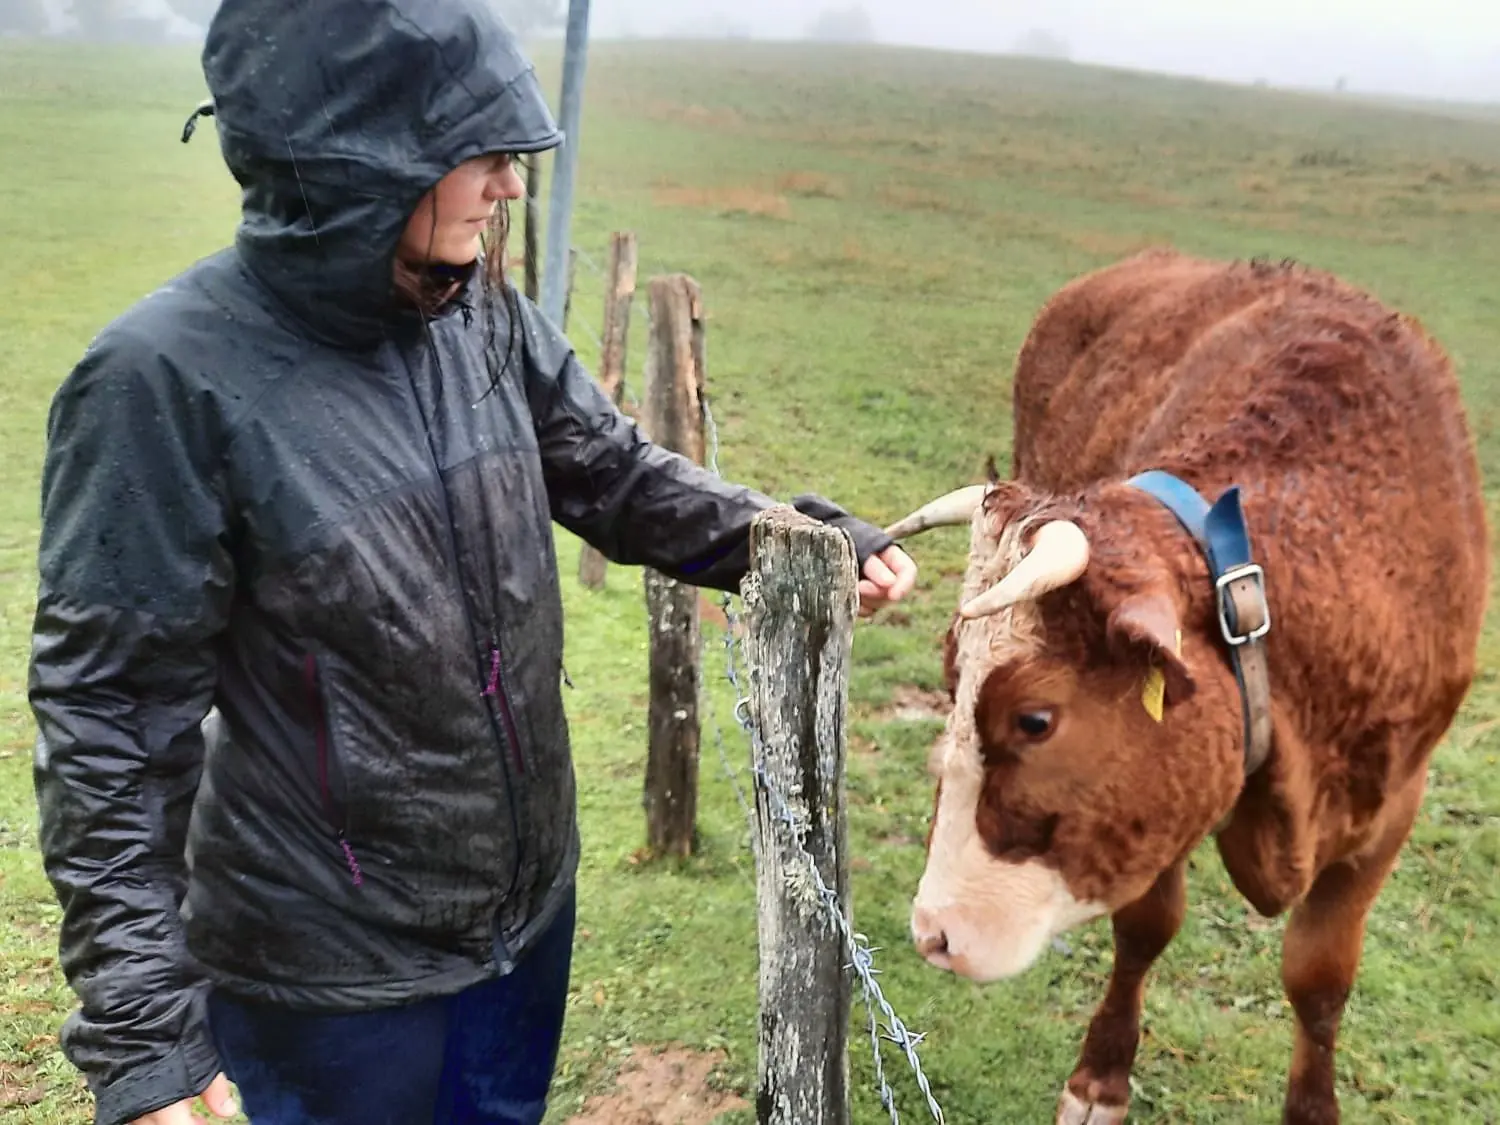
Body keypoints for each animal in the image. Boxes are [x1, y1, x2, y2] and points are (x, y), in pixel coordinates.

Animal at [885, 249, 1489, 1125]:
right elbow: (1145, 927)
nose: (932, 931)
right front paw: (1100, 1076)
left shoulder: (1392, 802)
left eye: (1034, 719)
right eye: (951, 682)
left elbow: (1320, 978)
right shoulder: (1157, 802)